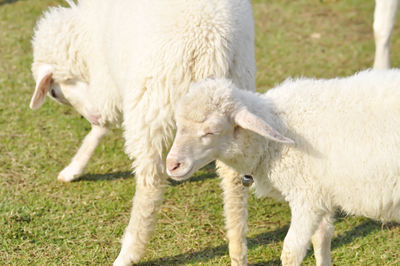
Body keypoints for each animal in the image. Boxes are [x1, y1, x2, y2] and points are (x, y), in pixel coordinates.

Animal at [29, 1, 256, 264]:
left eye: (54, 92)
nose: (93, 115)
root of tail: (211, 46)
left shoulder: (109, 81)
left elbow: (101, 126)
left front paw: (74, 167)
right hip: (232, 97)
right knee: (234, 181)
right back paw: (238, 252)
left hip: (149, 103)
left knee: (151, 183)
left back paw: (127, 253)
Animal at [166, 69, 400, 266]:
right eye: (178, 124)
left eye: (212, 131)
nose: (172, 165)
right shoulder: (320, 195)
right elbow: (321, 238)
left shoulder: (307, 199)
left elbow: (291, 252)